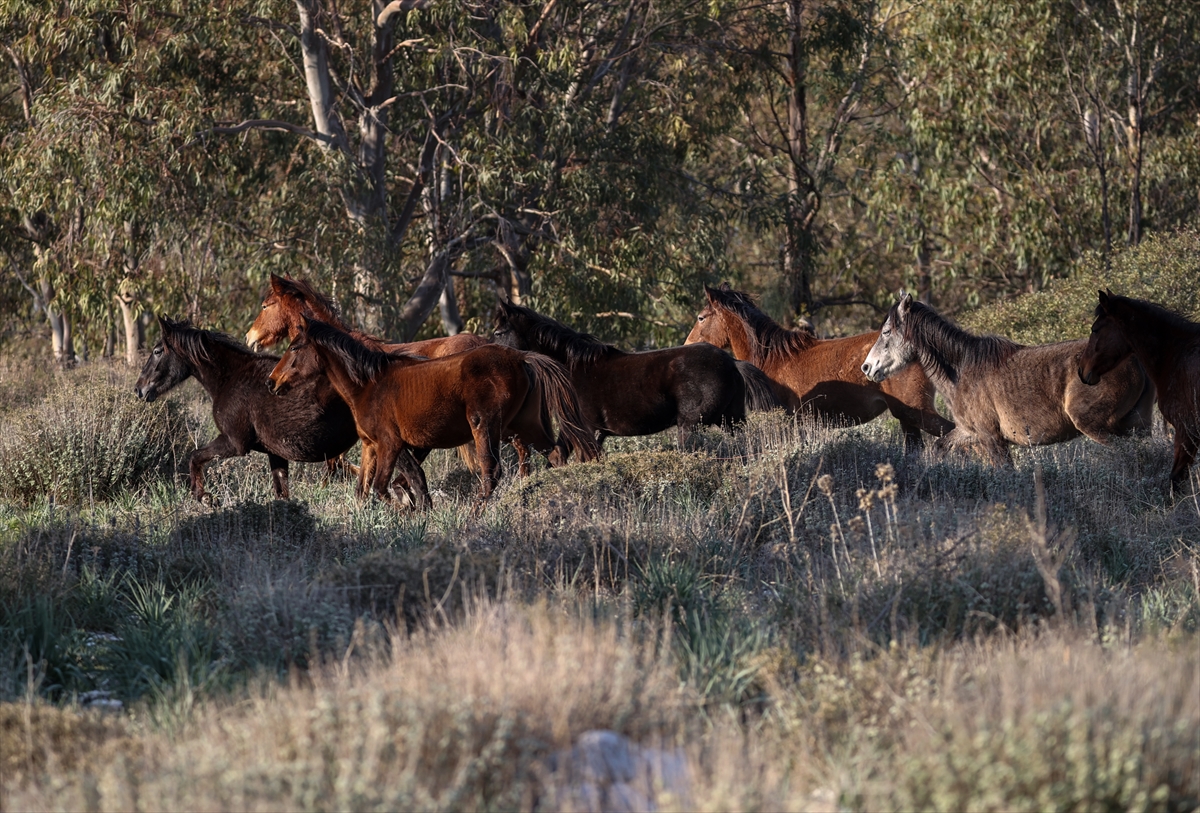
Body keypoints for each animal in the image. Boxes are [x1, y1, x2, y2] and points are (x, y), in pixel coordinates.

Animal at [134, 316, 360, 503]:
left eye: (157, 351)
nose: (139, 389)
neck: (231, 377)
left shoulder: (234, 443)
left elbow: (195, 456)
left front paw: (205, 497)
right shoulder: (275, 453)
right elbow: (282, 493)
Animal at [266, 318, 595, 508]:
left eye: (295, 347)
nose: (272, 382)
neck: (369, 384)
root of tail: (520, 357)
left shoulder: (390, 444)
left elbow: (383, 487)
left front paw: (408, 513)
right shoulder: (372, 446)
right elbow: (368, 489)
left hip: (485, 426)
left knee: (491, 472)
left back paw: (475, 516)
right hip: (526, 425)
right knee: (555, 454)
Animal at [489, 302, 777, 462]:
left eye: (499, 332)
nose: (492, 358)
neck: (573, 369)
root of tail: (732, 363)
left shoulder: (588, 430)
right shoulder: (576, 430)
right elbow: (558, 457)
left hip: (691, 426)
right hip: (731, 421)